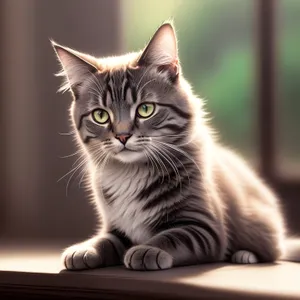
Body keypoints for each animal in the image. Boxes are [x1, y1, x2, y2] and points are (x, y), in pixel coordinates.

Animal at [52, 22, 298, 272]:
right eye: (100, 115)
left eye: (145, 109)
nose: (122, 136)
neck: (129, 172)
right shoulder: (116, 226)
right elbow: (106, 239)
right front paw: (85, 249)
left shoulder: (204, 227)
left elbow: (171, 236)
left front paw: (146, 250)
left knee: (273, 249)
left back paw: (245, 255)